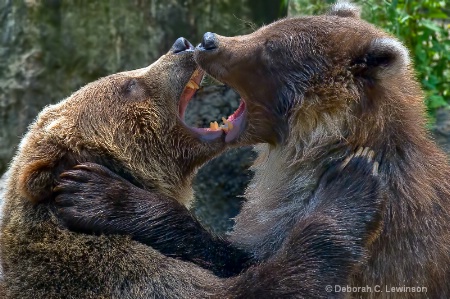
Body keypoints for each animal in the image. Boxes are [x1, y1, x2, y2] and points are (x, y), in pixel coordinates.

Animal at [54, 1, 448, 298]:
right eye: (264, 28)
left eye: (271, 50)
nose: (209, 40)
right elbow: (236, 256)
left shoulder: (383, 250)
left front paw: (94, 192)